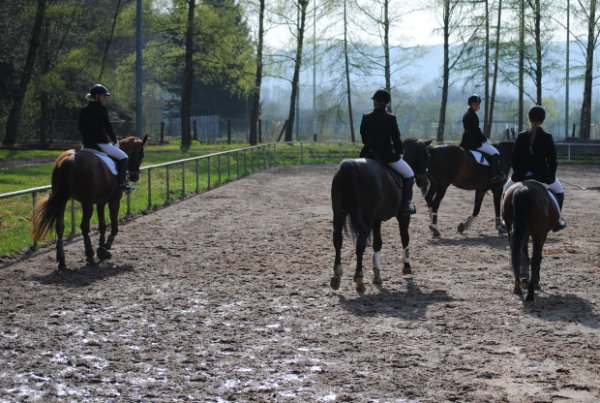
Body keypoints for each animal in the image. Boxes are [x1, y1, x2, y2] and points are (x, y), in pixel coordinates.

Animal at [32, 135, 148, 270]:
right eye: (141, 154)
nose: (135, 177)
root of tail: (70, 160)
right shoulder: (114, 200)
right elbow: (114, 226)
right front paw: (106, 247)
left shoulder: (101, 202)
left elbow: (102, 225)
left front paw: (102, 249)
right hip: (86, 202)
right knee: (84, 226)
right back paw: (89, 255)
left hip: (62, 199)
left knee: (60, 227)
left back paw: (62, 261)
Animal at [329, 138, 429, 293]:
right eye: (426, 155)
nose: (424, 180)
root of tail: (350, 165)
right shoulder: (403, 216)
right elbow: (405, 238)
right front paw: (406, 267)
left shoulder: (376, 219)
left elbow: (377, 243)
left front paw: (377, 274)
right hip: (366, 216)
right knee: (360, 243)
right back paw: (359, 280)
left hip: (339, 213)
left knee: (338, 240)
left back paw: (336, 277)